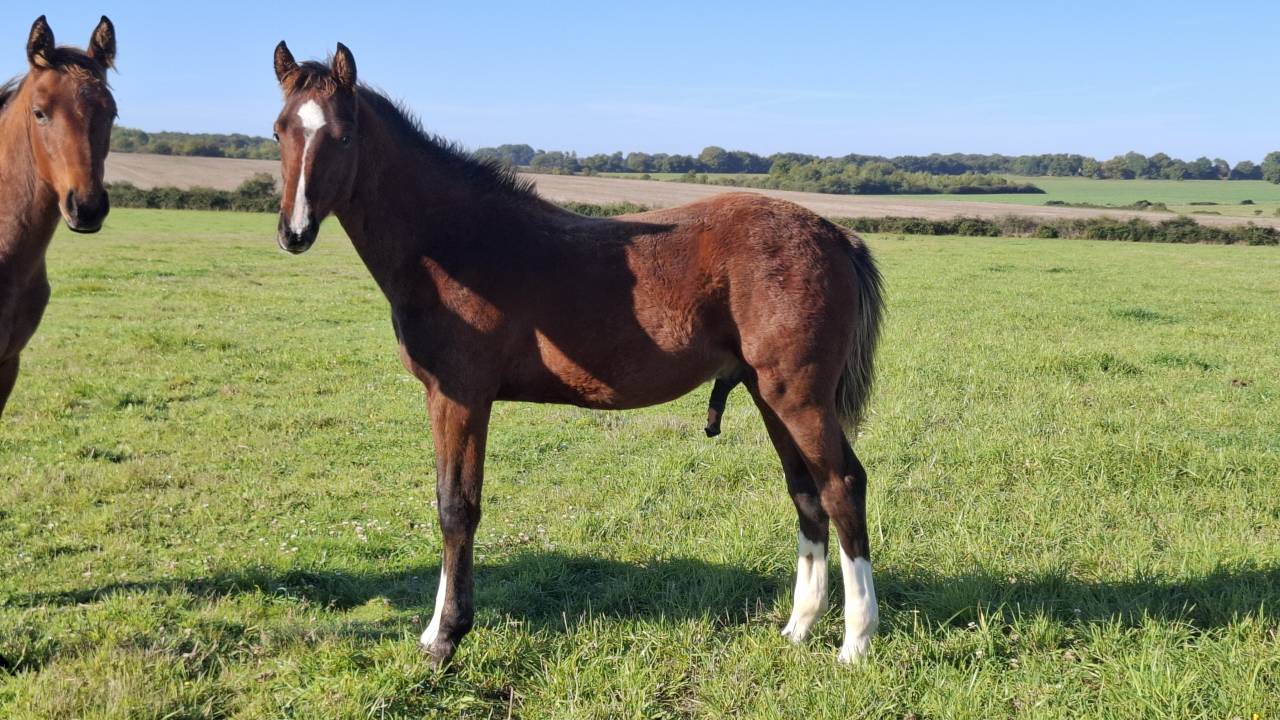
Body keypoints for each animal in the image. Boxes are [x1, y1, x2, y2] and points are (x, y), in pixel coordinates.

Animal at [269, 42, 886, 666]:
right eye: (279, 131)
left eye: (345, 135)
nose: (294, 232)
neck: (455, 243)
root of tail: (835, 234)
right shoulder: (443, 396)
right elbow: (446, 502)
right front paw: (433, 630)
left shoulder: (461, 396)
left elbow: (456, 507)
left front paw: (446, 637)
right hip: (769, 395)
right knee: (806, 492)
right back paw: (800, 625)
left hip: (800, 397)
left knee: (842, 486)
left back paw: (857, 640)